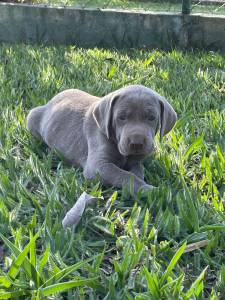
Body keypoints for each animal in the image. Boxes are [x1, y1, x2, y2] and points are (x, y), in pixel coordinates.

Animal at [26, 85, 177, 192]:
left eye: (151, 118)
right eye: (121, 117)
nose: (137, 143)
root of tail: (51, 100)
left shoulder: (135, 160)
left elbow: (137, 170)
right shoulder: (97, 166)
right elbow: (125, 176)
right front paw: (149, 190)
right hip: (32, 116)